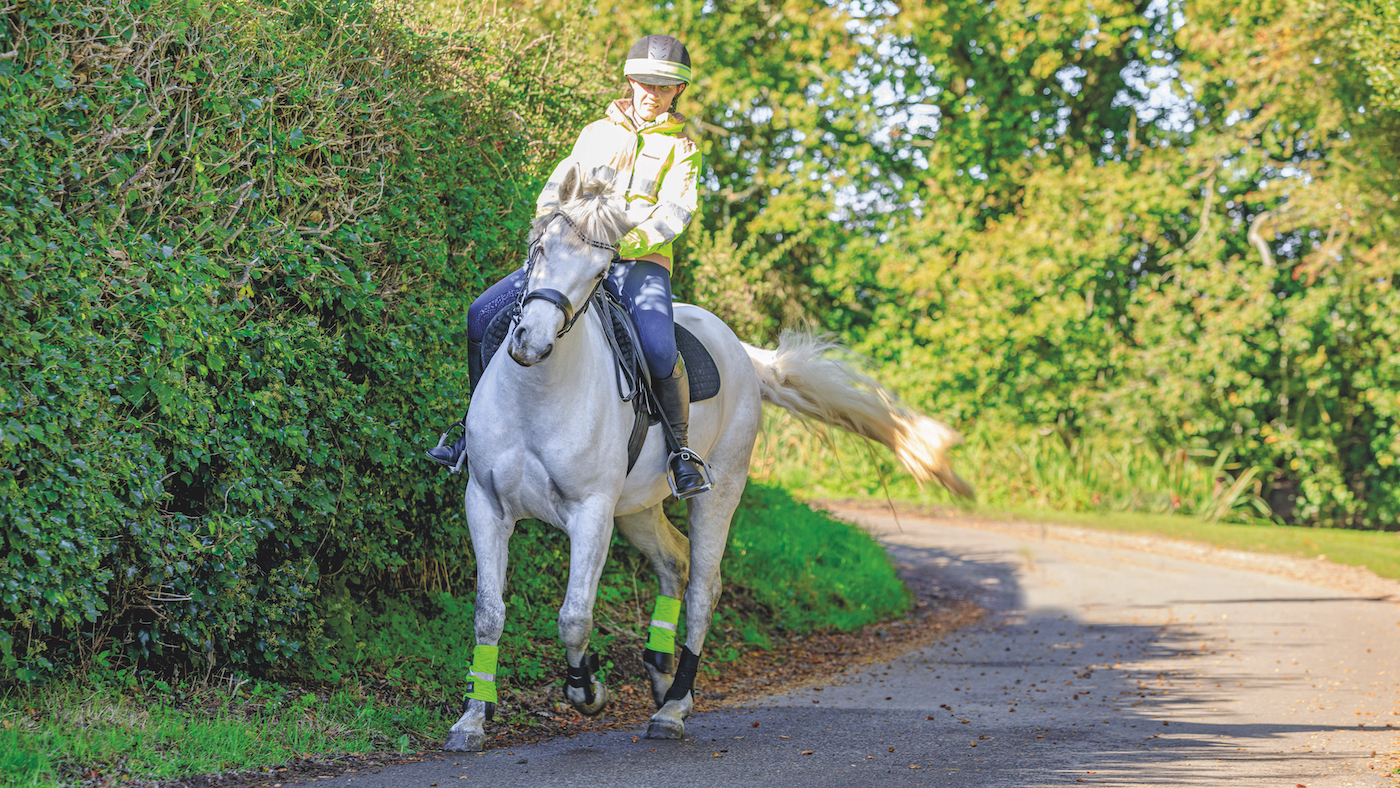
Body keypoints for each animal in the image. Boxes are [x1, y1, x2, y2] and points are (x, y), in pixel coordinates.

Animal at [443, 164, 972, 751]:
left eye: (600, 271)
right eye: (540, 248)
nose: (529, 343)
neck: (538, 392)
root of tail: (740, 348)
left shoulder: (591, 513)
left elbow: (574, 617)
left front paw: (587, 691)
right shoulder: (486, 505)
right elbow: (487, 613)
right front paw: (471, 720)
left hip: (719, 490)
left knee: (703, 587)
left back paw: (673, 706)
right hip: (637, 507)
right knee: (674, 560)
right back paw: (658, 673)